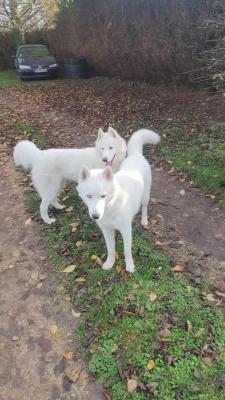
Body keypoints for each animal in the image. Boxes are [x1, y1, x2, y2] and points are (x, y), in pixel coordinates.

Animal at [77, 128, 160, 272]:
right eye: (89, 196)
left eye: (103, 196)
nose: (95, 216)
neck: (111, 206)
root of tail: (136, 155)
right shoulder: (107, 230)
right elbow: (111, 249)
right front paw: (110, 263)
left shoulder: (126, 230)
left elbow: (127, 251)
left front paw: (130, 266)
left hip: (145, 196)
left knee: (144, 207)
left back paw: (144, 220)